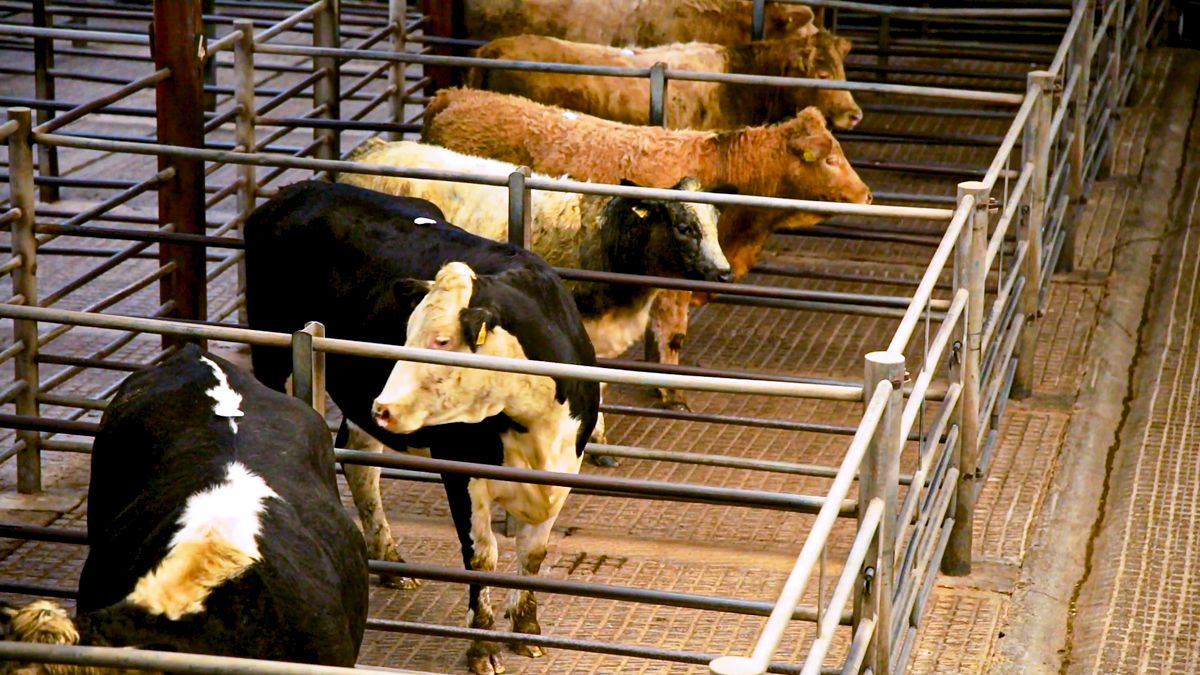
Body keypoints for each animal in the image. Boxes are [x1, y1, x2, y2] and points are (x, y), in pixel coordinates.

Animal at [243, 181, 600, 675]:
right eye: (406, 332)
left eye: (442, 340)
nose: (385, 407)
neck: (534, 421)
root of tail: (297, 189)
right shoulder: (462, 471)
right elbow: (481, 556)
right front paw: (481, 646)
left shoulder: (565, 467)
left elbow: (534, 552)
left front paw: (526, 627)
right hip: (273, 359)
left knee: (361, 463)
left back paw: (389, 556)